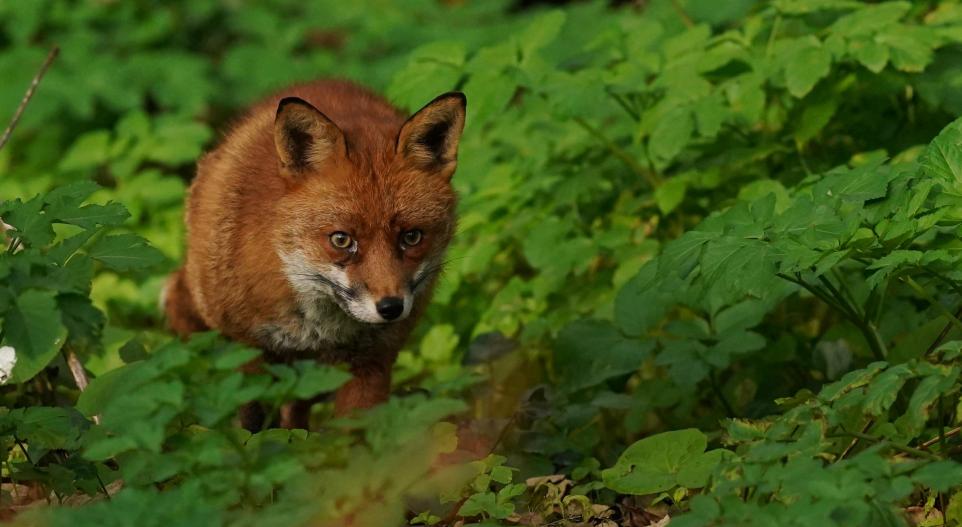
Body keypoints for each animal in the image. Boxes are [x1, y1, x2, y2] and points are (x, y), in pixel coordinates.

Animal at [163, 80, 464, 432]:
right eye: (341, 239)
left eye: (411, 237)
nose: (390, 308)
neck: (318, 330)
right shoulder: (246, 351)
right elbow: (253, 426)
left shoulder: (371, 364)